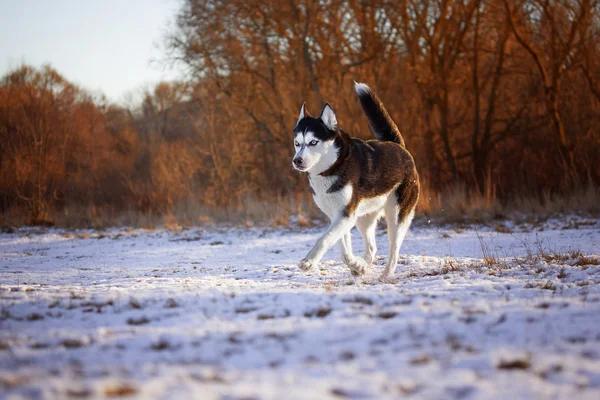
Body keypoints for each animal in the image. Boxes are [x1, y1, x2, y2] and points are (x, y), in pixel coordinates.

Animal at [292, 83, 420, 280]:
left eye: (313, 142)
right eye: (297, 143)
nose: (297, 161)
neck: (333, 167)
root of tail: (399, 147)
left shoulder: (345, 215)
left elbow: (324, 239)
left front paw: (309, 262)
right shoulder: (339, 216)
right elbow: (344, 252)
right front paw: (356, 265)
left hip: (396, 215)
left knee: (394, 249)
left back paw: (386, 275)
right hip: (363, 218)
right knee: (372, 247)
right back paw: (363, 266)